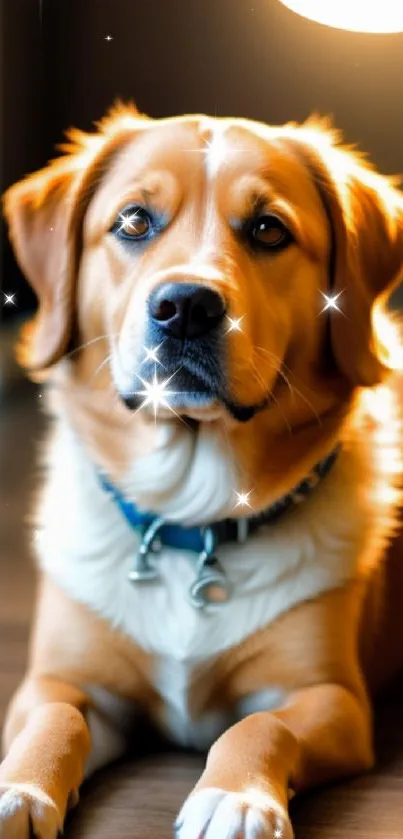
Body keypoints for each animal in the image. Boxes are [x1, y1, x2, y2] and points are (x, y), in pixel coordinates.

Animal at [0, 106, 403, 839]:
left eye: (268, 229)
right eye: (134, 221)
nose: (185, 305)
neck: (192, 521)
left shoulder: (329, 697)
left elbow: (260, 726)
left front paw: (235, 796)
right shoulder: (60, 680)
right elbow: (53, 719)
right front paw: (18, 788)